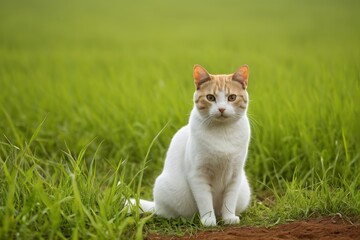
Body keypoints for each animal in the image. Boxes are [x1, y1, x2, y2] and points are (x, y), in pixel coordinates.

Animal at [129, 64, 250, 226]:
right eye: (210, 97)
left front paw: (229, 218)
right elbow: (205, 201)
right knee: (166, 213)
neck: (222, 133)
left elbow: (229, 201)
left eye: (232, 97)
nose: (221, 109)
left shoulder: (235, 175)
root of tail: (156, 204)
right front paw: (208, 220)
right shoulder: (198, 174)